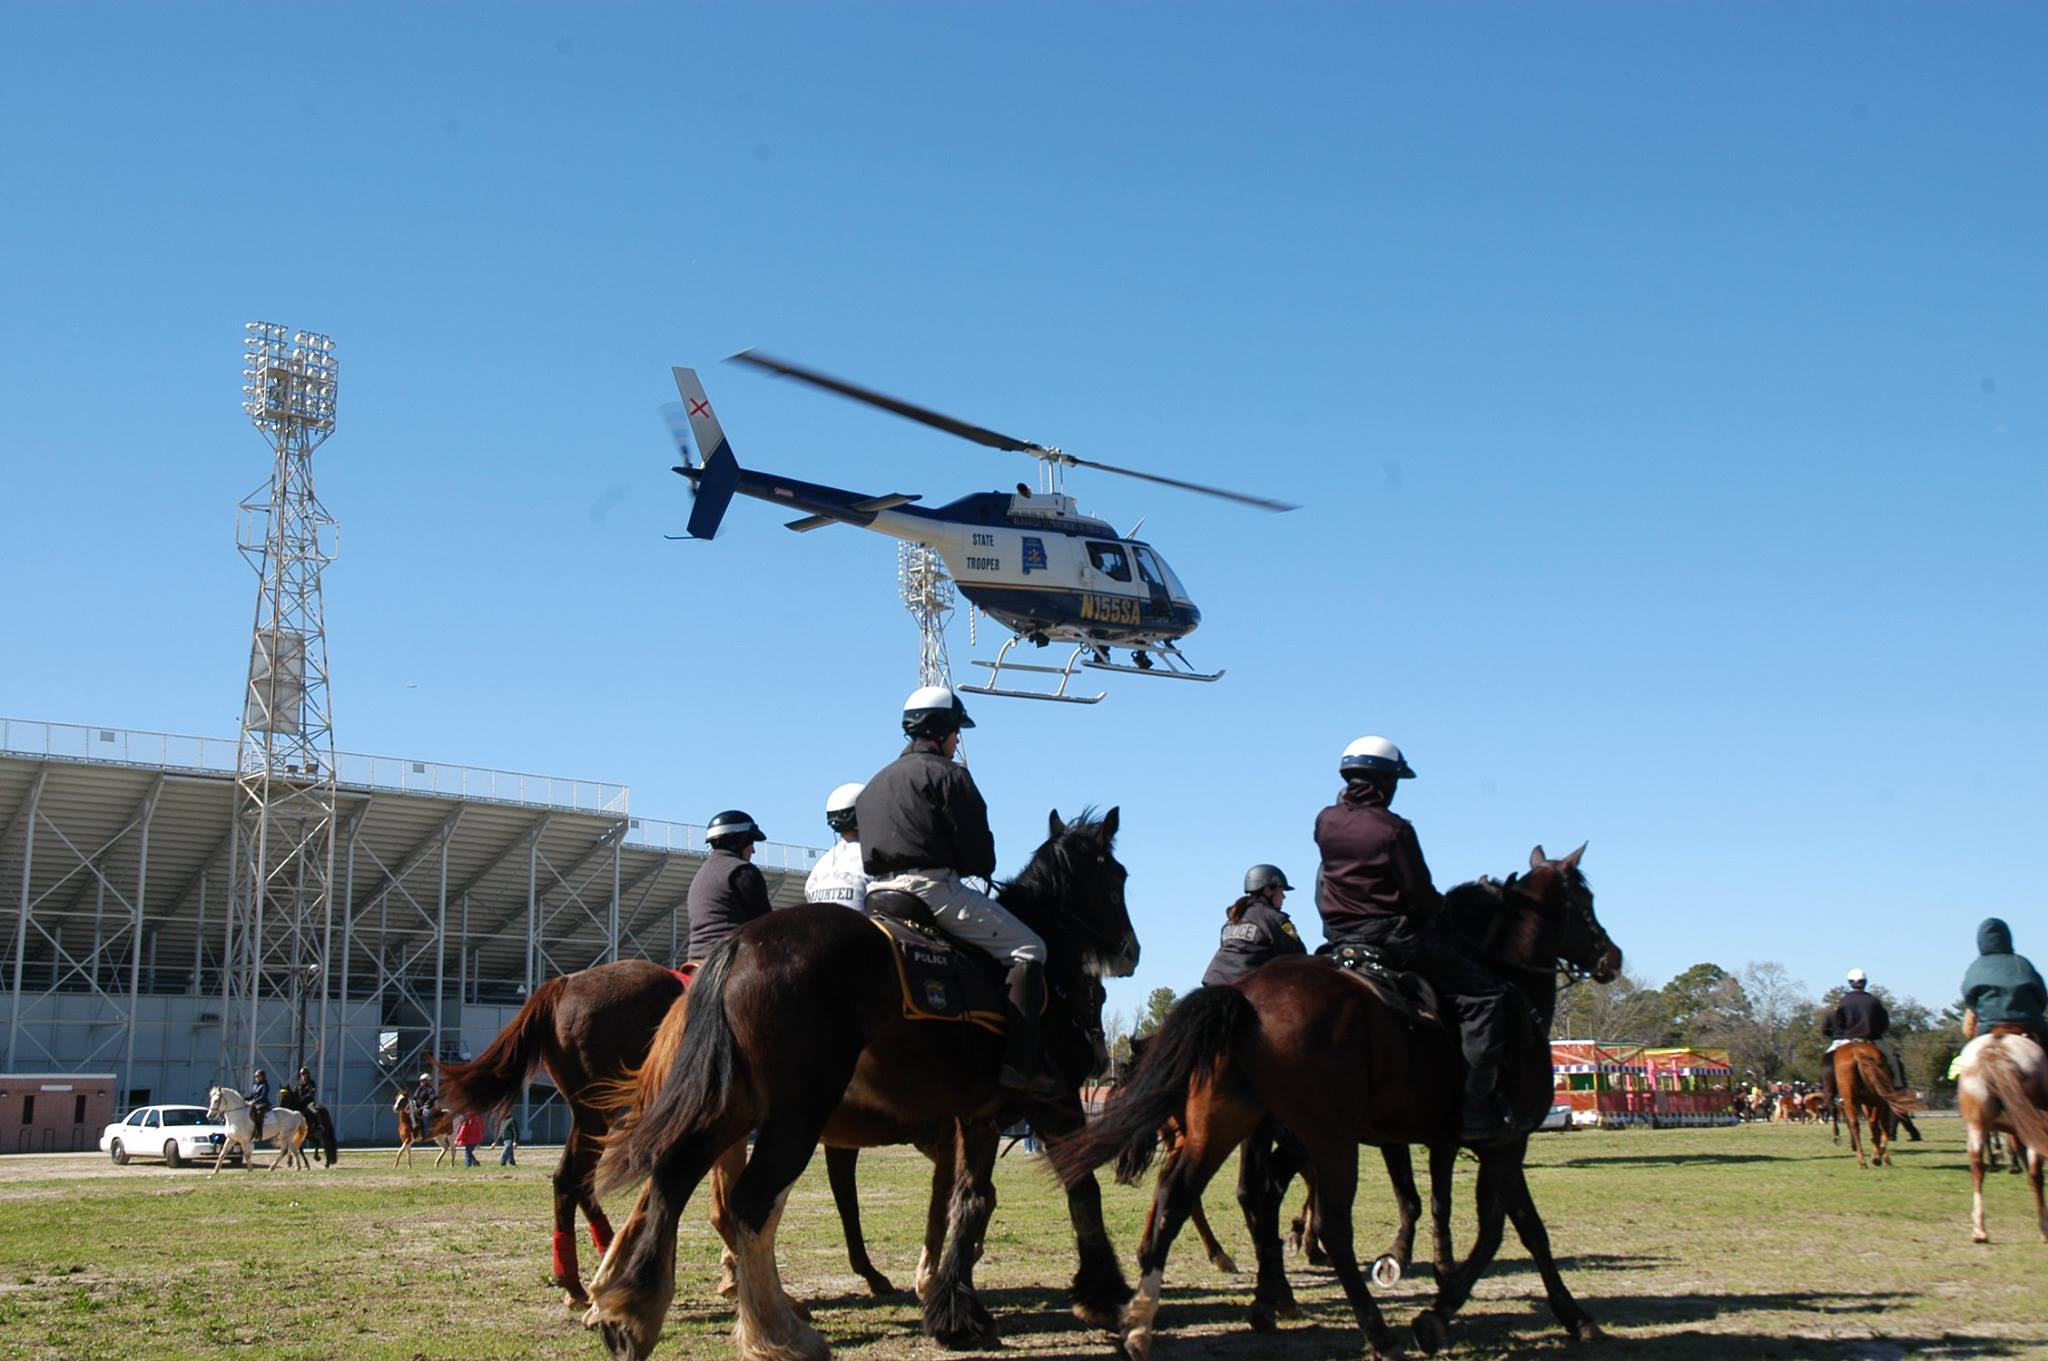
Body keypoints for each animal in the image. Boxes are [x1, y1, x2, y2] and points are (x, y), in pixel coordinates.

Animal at [440, 949, 950, 1301]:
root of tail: (564, 984)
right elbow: (846, 1204)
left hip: (605, 1114)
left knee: (580, 1180)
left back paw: (604, 1257)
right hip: (599, 1112)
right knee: (571, 1179)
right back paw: (578, 1279)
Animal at [585, 806, 1146, 1358]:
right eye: (1117, 877)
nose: (1130, 951)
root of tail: (739, 945)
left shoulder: (977, 1118)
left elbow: (970, 1200)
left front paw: (954, 1312)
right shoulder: (1054, 1102)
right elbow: (1080, 1188)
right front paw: (1105, 1295)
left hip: (730, 1109)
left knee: (671, 1181)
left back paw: (628, 1313)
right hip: (795, 1115)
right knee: (749, 1204)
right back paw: (775, 1333)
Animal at [1056, 839, 1613, 1358]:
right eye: (1584, 899)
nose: (1612, 956)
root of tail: (1241, 997)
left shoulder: (1458, 1141)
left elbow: (1490, 1217)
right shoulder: (1501, 1141)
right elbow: (1500, 1227)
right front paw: (1438, 1303)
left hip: (1228, 1127)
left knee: (1187, 1195)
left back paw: (1155, 1317)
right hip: (1325, 1138)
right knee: (1324, 1220)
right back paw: (1370, 1328)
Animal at [1843, 1039, 1916, 1170]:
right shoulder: (1882, 1106)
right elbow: (1883, 1129)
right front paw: (1880, 1157)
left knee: (1857, 1124)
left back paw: (1863, 1159)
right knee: (1876, 1125)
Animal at [1949, 1031, 2048, 1244]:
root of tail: (1996, 1047)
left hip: (1976, 1125)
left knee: (1977, 1167)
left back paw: (1979, 1230)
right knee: (2035, 1174)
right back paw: (2044, 1228)